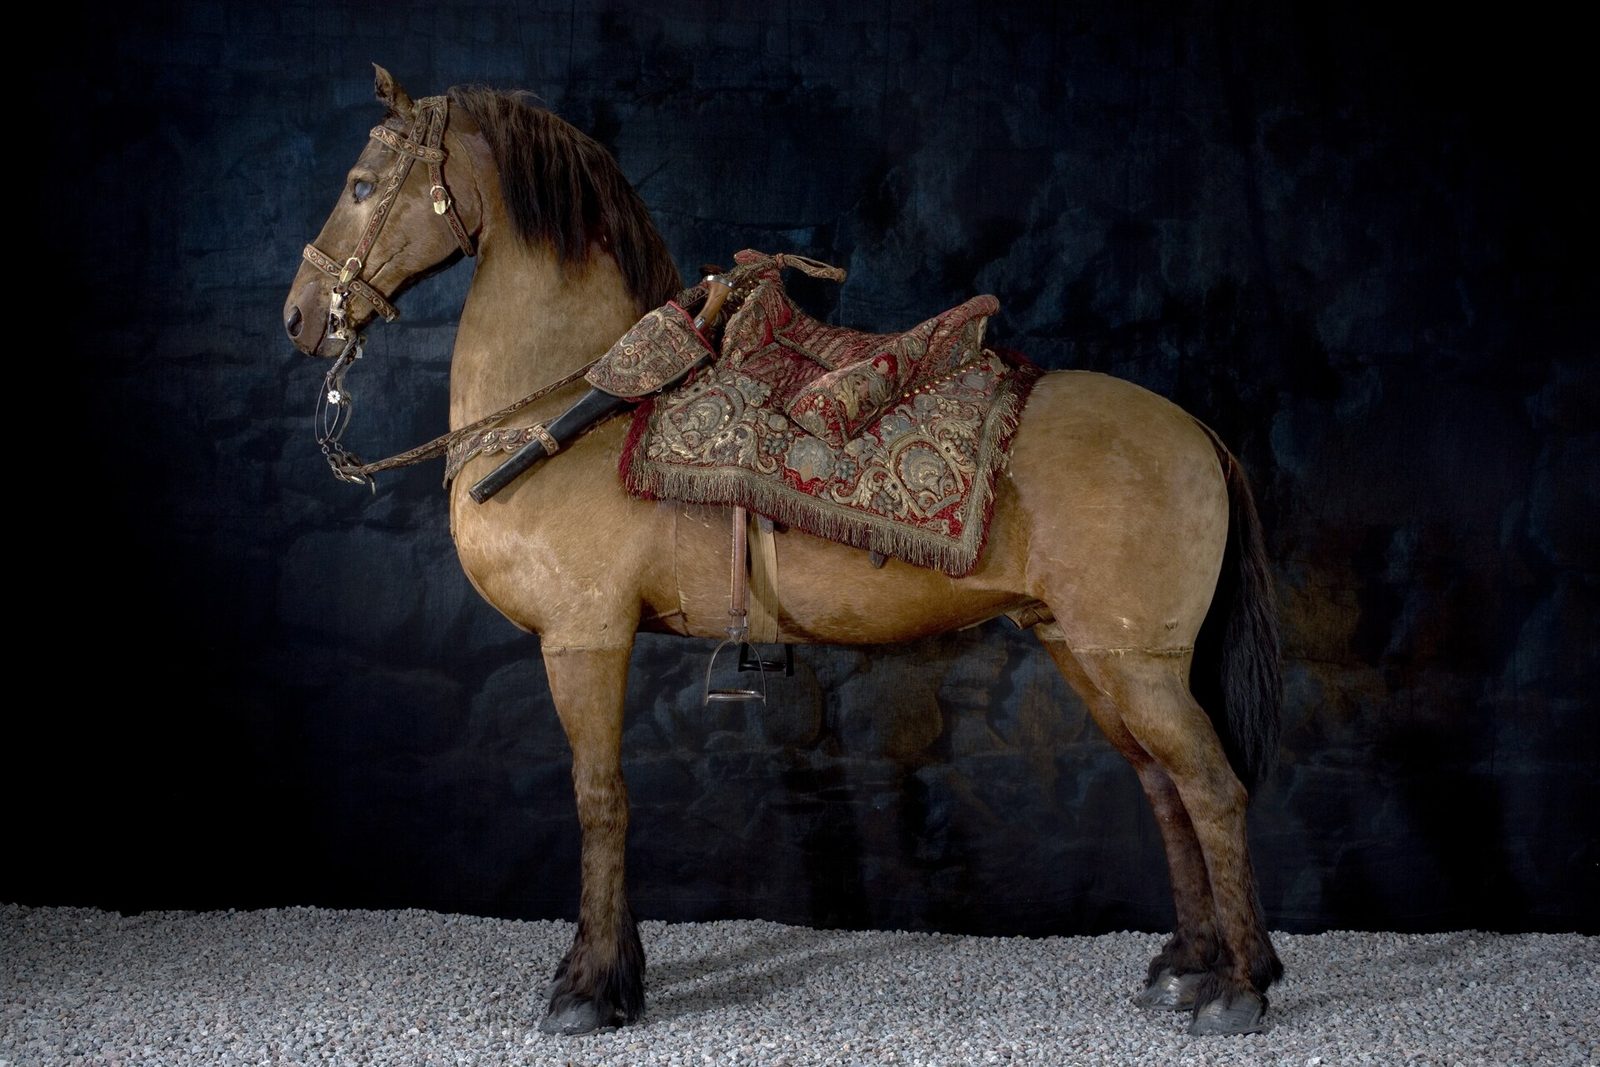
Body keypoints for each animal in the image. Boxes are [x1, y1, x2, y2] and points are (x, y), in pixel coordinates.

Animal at [283, 65, 1285, 1038]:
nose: (299, 317)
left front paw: (590, 987)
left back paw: (1239, 987)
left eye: (361, 184)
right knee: (1163, 785)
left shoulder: (583, 638)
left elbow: (600, 798)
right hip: (1084, 648)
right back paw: (1186, 966)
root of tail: (1199, 432)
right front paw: (616, 971)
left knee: (1214, 789)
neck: (577, 406)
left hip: (1137, 660)